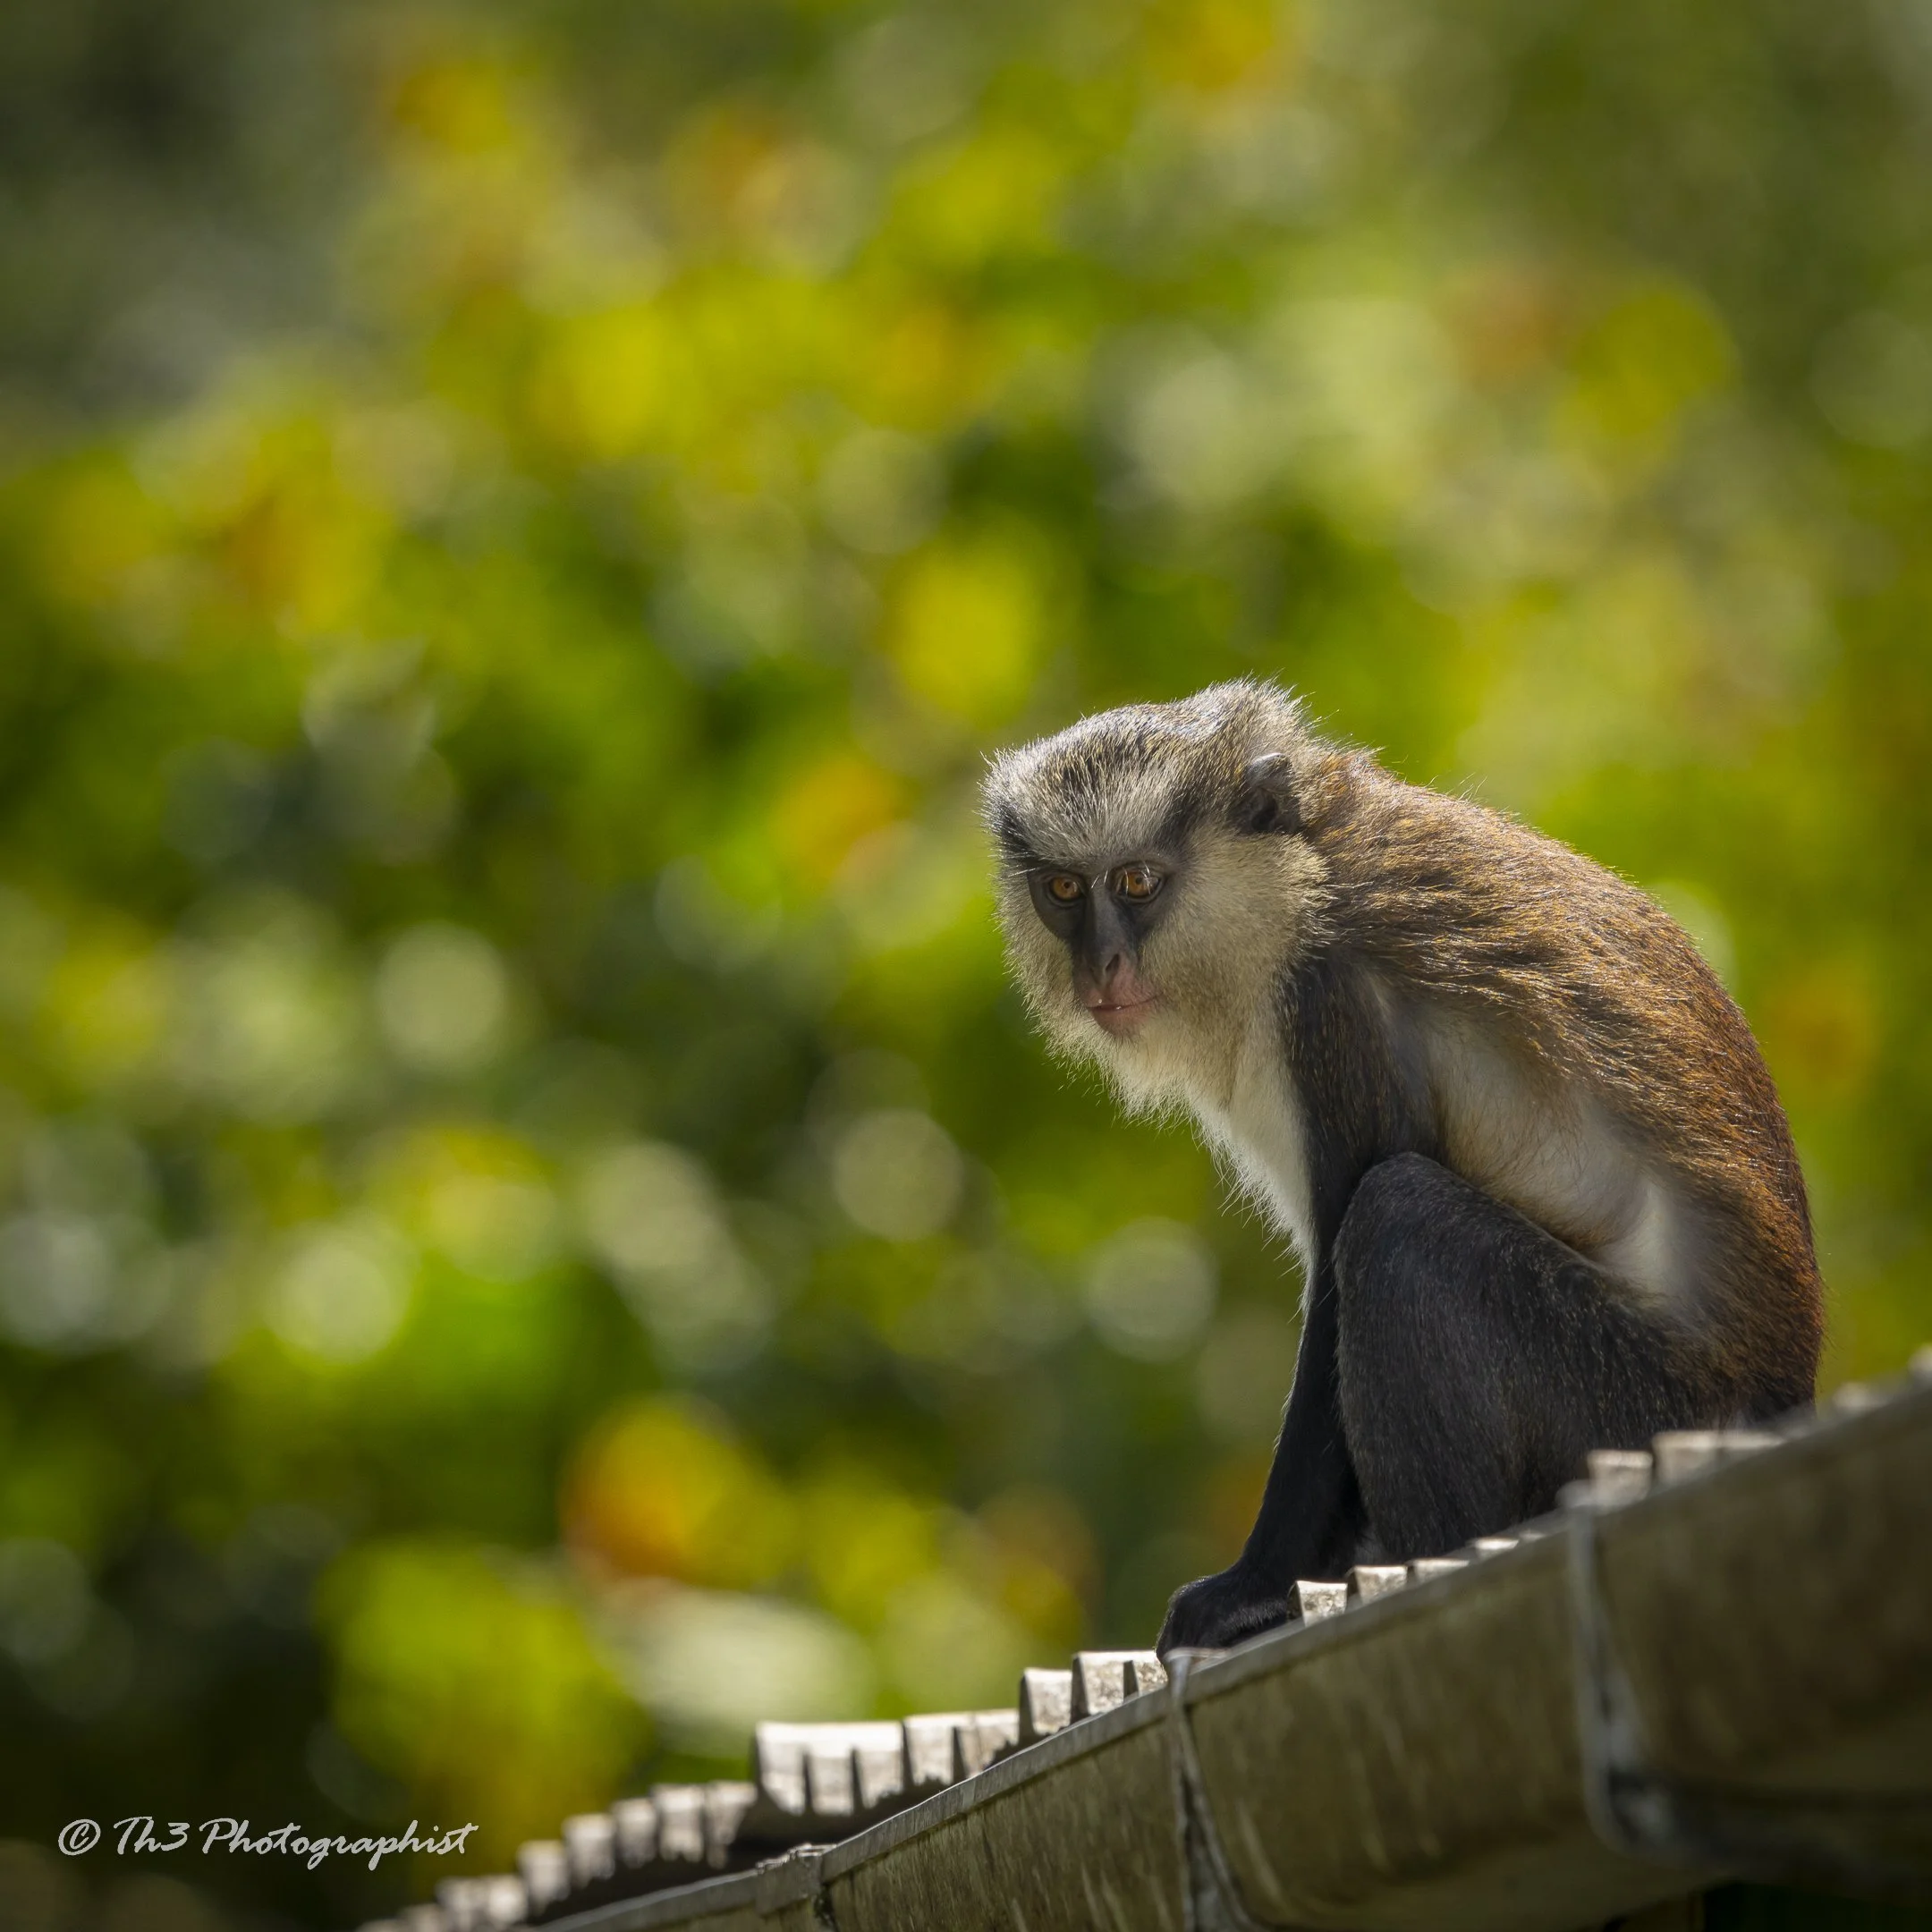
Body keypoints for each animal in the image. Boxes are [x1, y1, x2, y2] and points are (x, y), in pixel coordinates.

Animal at [982, 680, 1822, 1654]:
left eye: (1138, 882)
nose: (1102, 967)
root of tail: (1783, 1394)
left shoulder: (1334, 1006)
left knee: (1399, 1216)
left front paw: (1250, 1588)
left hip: (1638, 1403)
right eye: (1063, 890)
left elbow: (1339, 1288)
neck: (1301, 880)